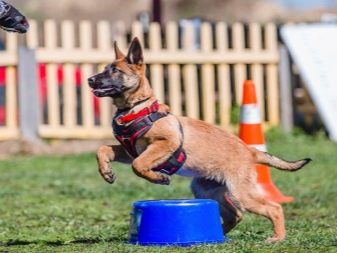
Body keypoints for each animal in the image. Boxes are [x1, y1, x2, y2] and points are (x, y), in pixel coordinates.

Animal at [88, 37, 312, 243]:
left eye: (114, 71)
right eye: (105, 69)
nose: (90, 79)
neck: (136, 108)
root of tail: (250, 151)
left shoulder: (164, 143)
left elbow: (138, 165)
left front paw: (158, 178)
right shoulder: (130, 150)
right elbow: (103, 149)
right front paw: (106, 171)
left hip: (241, 192)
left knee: (273, 208)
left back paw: (277, 237)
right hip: (206, 190)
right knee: (236, 215)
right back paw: (217, 236)